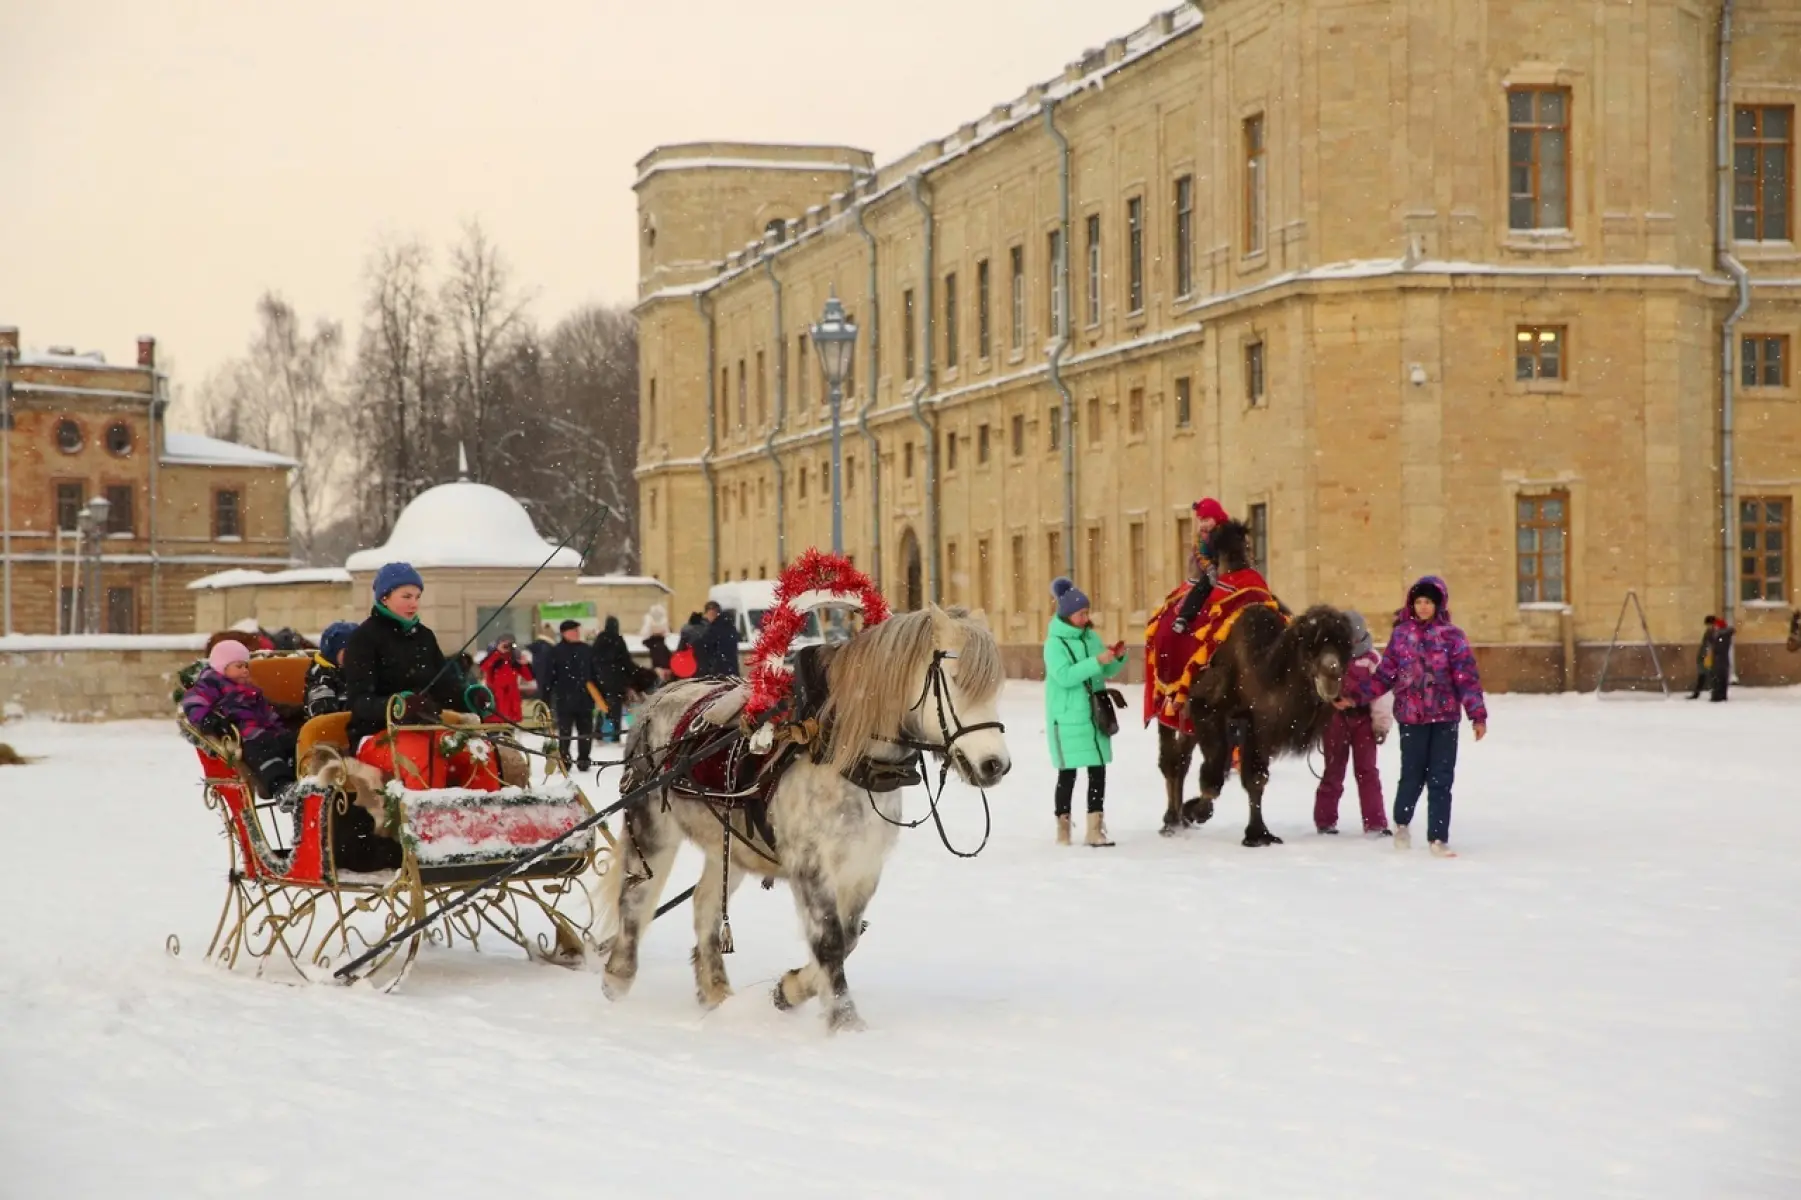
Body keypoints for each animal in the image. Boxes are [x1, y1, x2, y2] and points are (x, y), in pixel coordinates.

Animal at [594, 609, 1008, 1030]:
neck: (839, 754)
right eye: (955, 680)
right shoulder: (810, 863)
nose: (996, 765)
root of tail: (657, 697)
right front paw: (845, 1021)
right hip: (652, 827)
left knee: (704, 903)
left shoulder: (863, 865)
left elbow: (849, 937)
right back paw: (618, 976)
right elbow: (829, 940)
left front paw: (789, 989)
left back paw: (715, 991)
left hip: (731, 847)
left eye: (994, 688)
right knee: (636, 897)